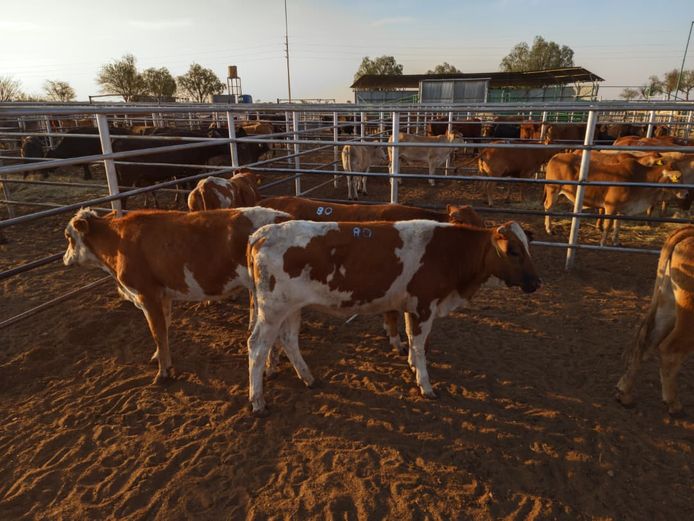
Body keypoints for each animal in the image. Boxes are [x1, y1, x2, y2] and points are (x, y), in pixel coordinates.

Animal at [62, 206, 290, 383]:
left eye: (68, 236)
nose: (64, 259)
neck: (119, 244)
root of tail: (283, 217)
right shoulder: (163, 296)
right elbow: (164, 327)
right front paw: (158, 357)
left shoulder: (147, 295)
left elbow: (157, 332)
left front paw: (163, 372)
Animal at [245, 219, 540, 414]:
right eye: (513, 251)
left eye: (528, 247)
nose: (537, 282)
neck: (447, 253)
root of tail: (263, 233)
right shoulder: (424, 306)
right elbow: (420, 346)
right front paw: (425, 385)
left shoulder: (411, 307)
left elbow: (410, 339)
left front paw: (411, 366)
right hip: (272, 310)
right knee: (257, 346)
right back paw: (258, 401)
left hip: (291, 308)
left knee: (289, 340)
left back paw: (308, 378)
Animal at [543, 152, 683, 245]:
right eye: (677, 178)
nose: (686, 192)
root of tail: (555, 156)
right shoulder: (610, 206)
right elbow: (608, 225)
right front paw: (602, 242)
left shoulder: (622, 208)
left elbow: (617, 225)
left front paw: (616, 241)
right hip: (553, 190)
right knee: (548, 207)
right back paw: (549, 229)